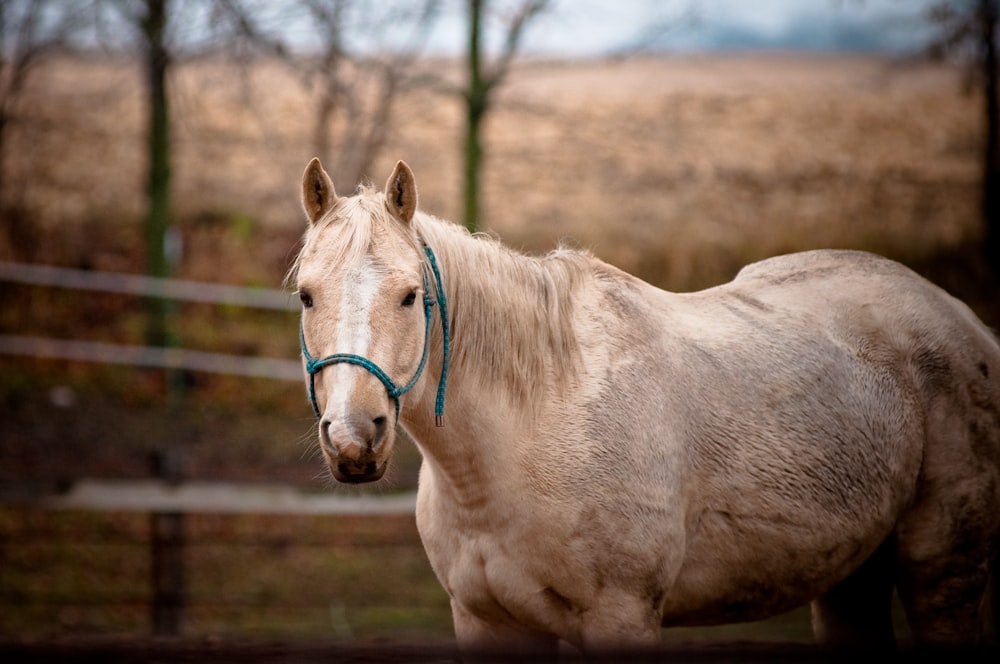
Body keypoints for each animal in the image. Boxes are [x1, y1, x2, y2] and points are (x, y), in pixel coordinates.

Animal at [290, 157, 1000, 652]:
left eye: (411, 296)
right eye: (306, 295)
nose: (354, 436)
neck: (527, 432)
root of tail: (965, 321)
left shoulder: (622, 613)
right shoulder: (486, 621)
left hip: (943, 572)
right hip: (850, 577)